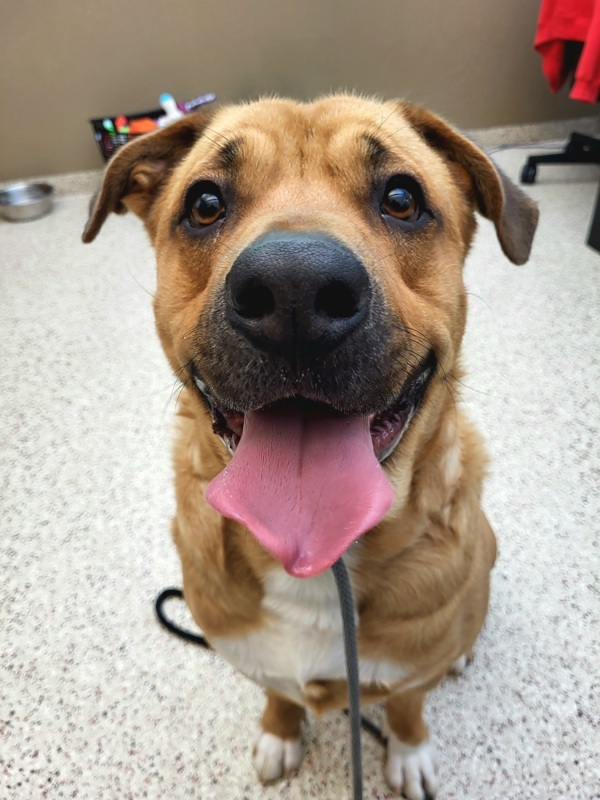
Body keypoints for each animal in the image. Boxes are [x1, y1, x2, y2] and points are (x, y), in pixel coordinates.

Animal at [82, 97, 536, 796]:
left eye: (401, 198)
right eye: (205, 203)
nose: (293, 288)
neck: (323, 563)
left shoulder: (409, 671)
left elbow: (407, 704)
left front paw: (408, 752)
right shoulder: (250, 654)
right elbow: (280, 694)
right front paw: (279, 732)